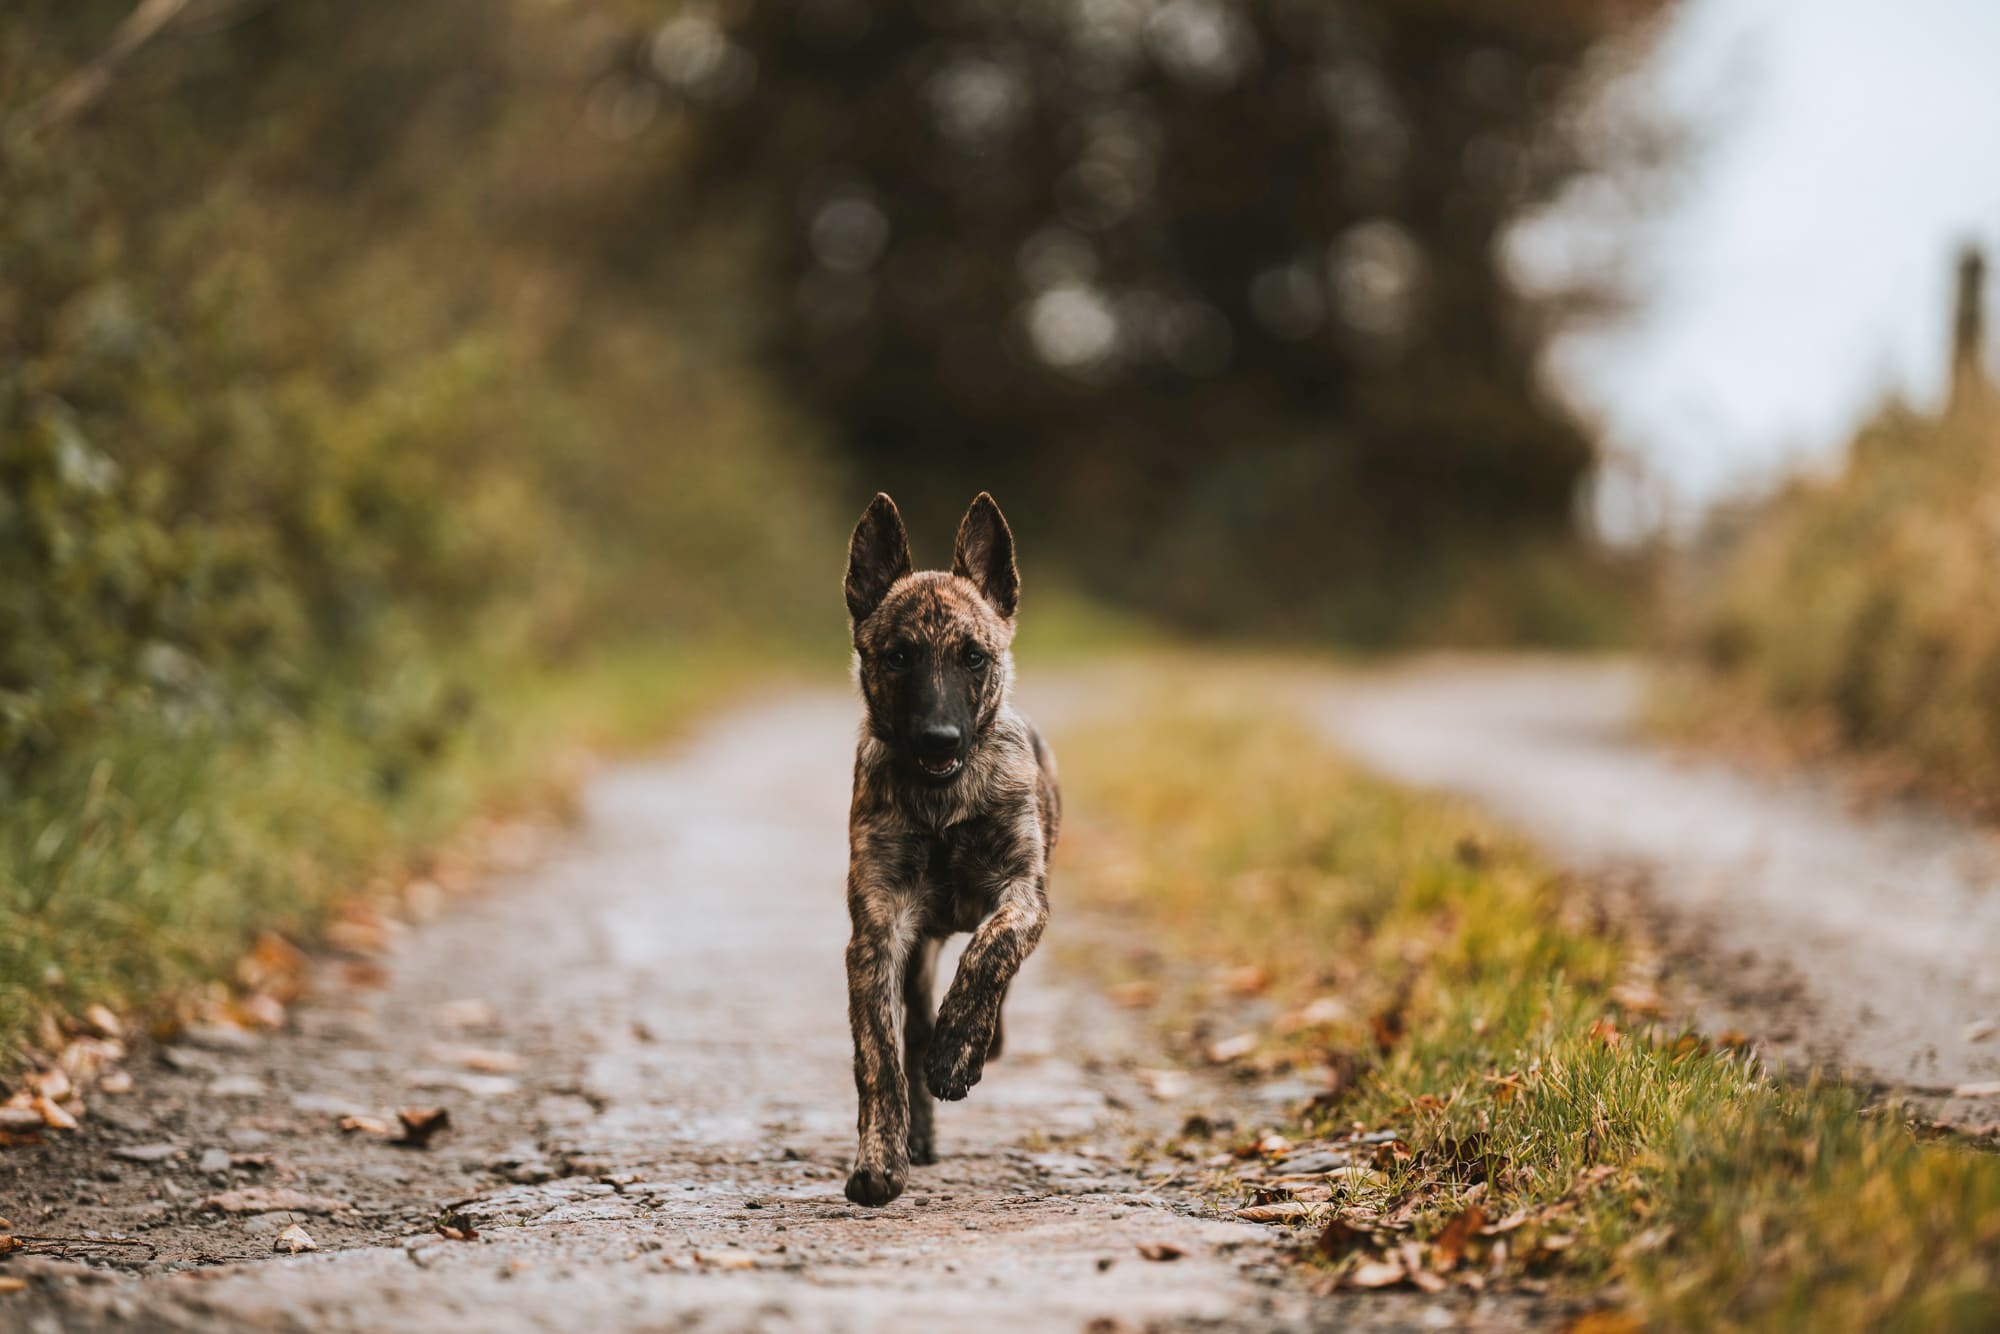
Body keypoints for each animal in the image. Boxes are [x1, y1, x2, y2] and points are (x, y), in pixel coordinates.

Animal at [844, 490, 1064, 1208]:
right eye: (898, 657)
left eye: (974, 657)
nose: (939, 740)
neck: (944, 803)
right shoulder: (879, 931)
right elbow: (879, 1056)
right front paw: (880, 1160)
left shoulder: (1024, 894)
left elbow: (991, 952)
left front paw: (960, 1051)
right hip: (914, 957)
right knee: (911, 1030)